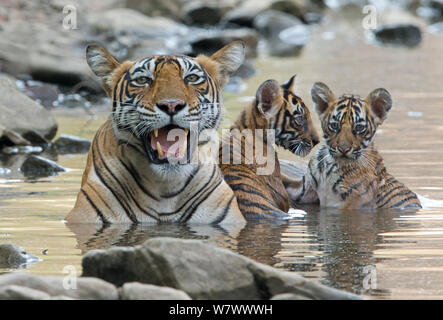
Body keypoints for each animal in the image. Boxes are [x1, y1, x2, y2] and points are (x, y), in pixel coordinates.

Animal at [286, 81, 422, 209]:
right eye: (334, 125)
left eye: (359, 128)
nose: (343, 149)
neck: (329, 167)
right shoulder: (304, 188)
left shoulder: (354, 202)